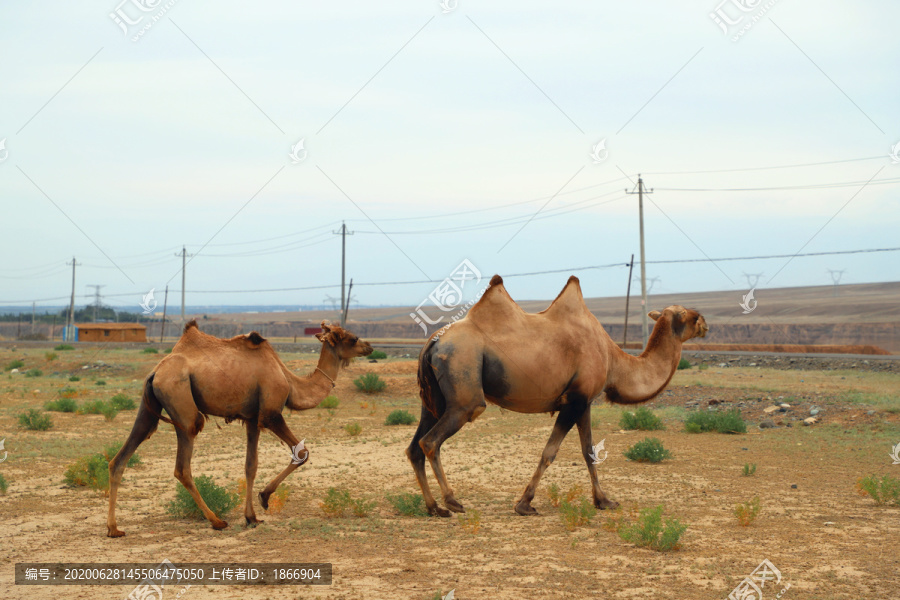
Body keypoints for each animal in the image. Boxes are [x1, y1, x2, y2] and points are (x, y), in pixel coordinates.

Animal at [106, 322, 372, 536]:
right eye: (353, 338)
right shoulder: (270, 414)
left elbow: (250, 465)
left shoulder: (252, 419)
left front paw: (251, 516)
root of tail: (155, 372)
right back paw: (216, 521)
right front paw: (264, 498)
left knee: (121, 457)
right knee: (182, 467)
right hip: (183, 407)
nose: (369, 346)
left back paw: (114, 528)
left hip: (147, 409)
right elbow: (302, 453)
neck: (290, 382)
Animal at [410, 276, 712, 516]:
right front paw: (525, 504)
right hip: (464, 388)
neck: (612, 360)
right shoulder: (574, 401)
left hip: (434, 401)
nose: (705, 323)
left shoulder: (586, 402)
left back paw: (433, 507)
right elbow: (549, 452)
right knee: (431, 441)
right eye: (688, 314)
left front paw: (603, 501)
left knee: (414, 447)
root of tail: (433, 342)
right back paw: (452, 502)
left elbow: (589, 451)